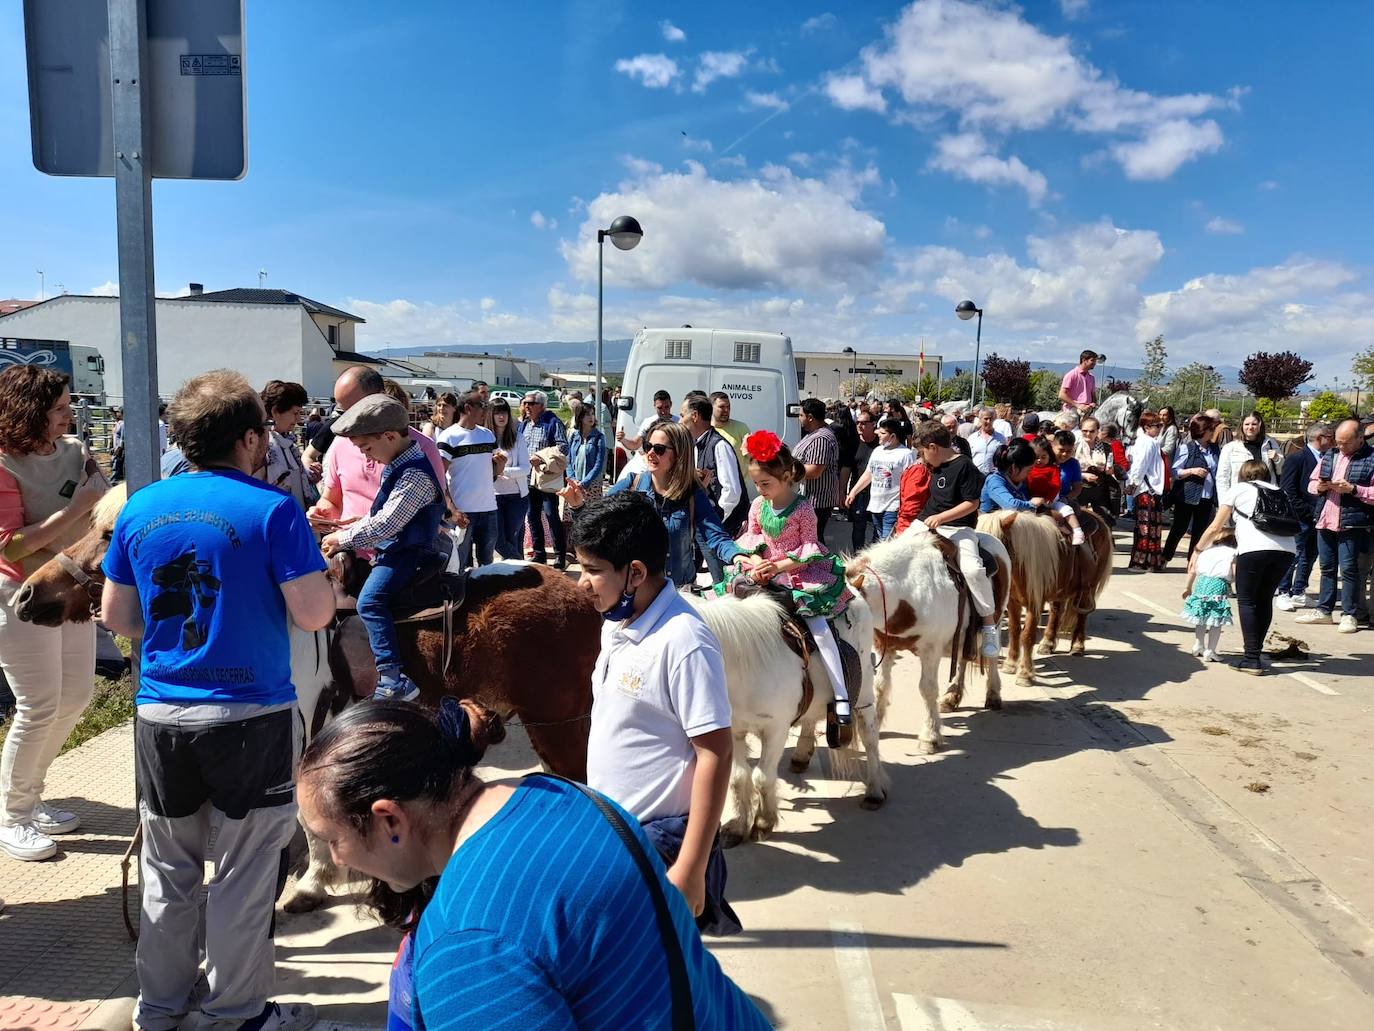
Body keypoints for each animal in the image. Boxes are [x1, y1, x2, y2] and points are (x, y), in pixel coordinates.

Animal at [687, 588, 890, 846]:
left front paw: (763, 823)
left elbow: (762, 777)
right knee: (810, 720)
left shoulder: (775, 729)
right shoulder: (732, 731)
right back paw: (801, 756)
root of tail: (855, 591)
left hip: (863, 695)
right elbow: (738, 777)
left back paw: (874, 791)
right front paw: (737, 828)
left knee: (870, 738)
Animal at [846, 525, 1011, 753]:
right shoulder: (884, 647)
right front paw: (876, 726)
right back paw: (952, 697)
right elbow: (881, 686)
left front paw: (930, 736)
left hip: (996, 618)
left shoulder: (930, 651)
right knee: (963, 658)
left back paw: (993, 695)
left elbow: (927, 689)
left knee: (992, 656)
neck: (907, 591)